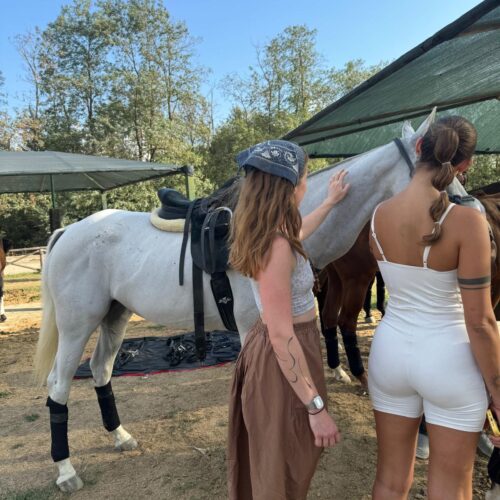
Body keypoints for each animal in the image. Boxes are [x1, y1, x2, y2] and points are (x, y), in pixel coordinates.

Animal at [34, 109, 472, 492]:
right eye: (442, 177)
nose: (472, 216)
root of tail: (68, 232)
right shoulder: (253, 331)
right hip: (77, 325)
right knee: (59, 386)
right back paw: (65, 471)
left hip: (115, 316)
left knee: (101, 371)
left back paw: (121, 436)